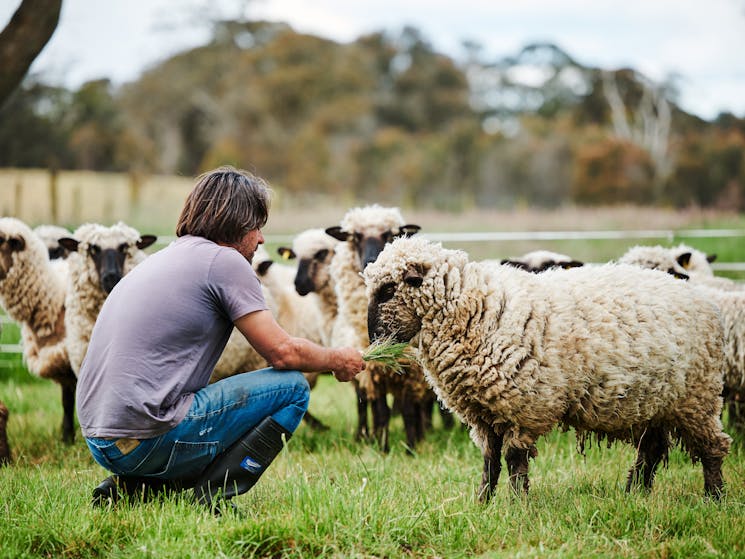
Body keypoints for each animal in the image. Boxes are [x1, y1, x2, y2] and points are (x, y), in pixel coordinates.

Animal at [364, 238, 728, 500]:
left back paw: (714, 497)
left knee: (713, 447)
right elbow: (489, 461)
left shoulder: (524, 406)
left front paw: (516, 505)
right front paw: (482, 503)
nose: (373, 338)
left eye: (388, 290)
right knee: (651, 449)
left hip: (696, 398)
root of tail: (699, 296)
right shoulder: (484, 412)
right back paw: (634, 495)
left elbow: (514, 459)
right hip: (652, 401)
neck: (476, 309)